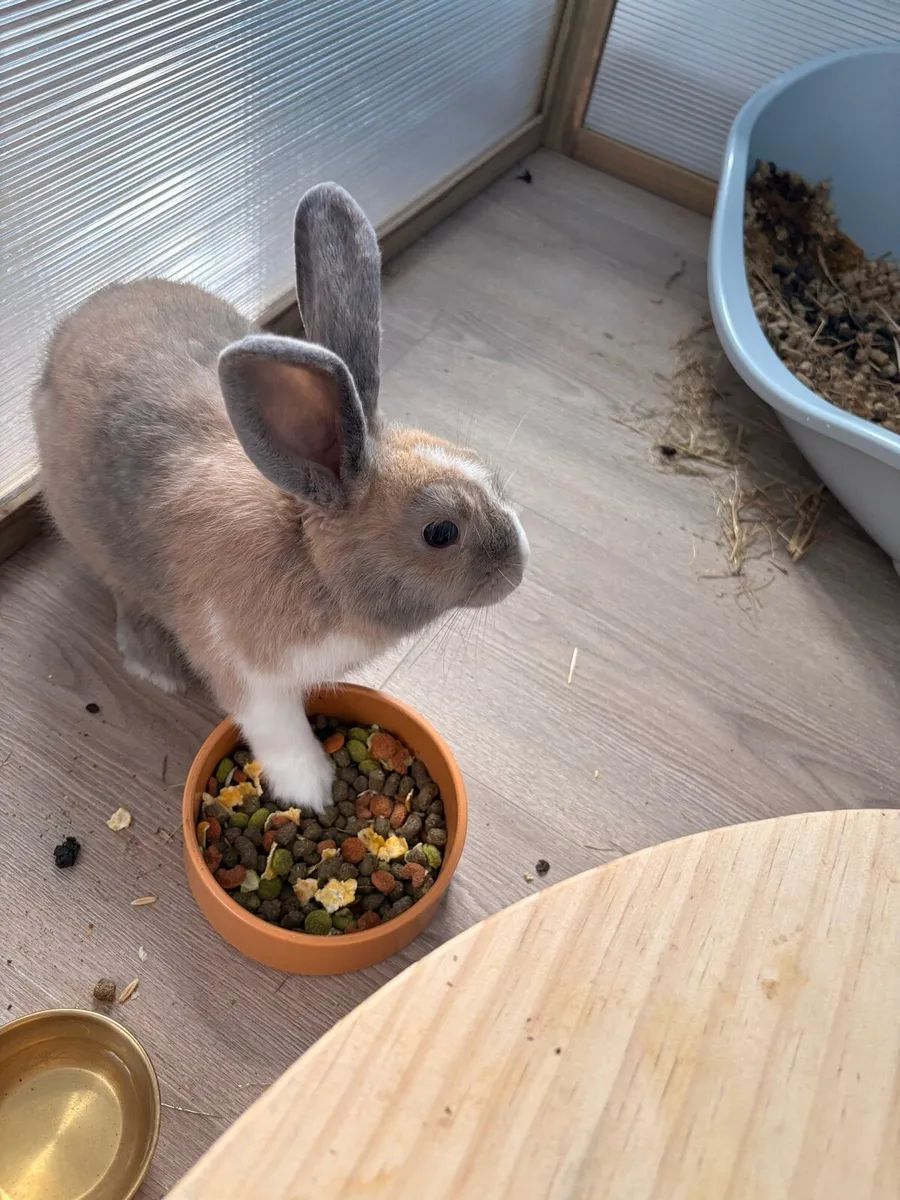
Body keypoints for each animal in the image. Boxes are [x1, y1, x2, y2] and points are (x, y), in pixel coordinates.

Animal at [32, 183, 529, 813]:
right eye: (441, 533)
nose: (519, 566)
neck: (314, 562)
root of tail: (66, 331)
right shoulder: (246, 669)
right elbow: (279, 730)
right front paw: (313, 790)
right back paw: (156, 665)